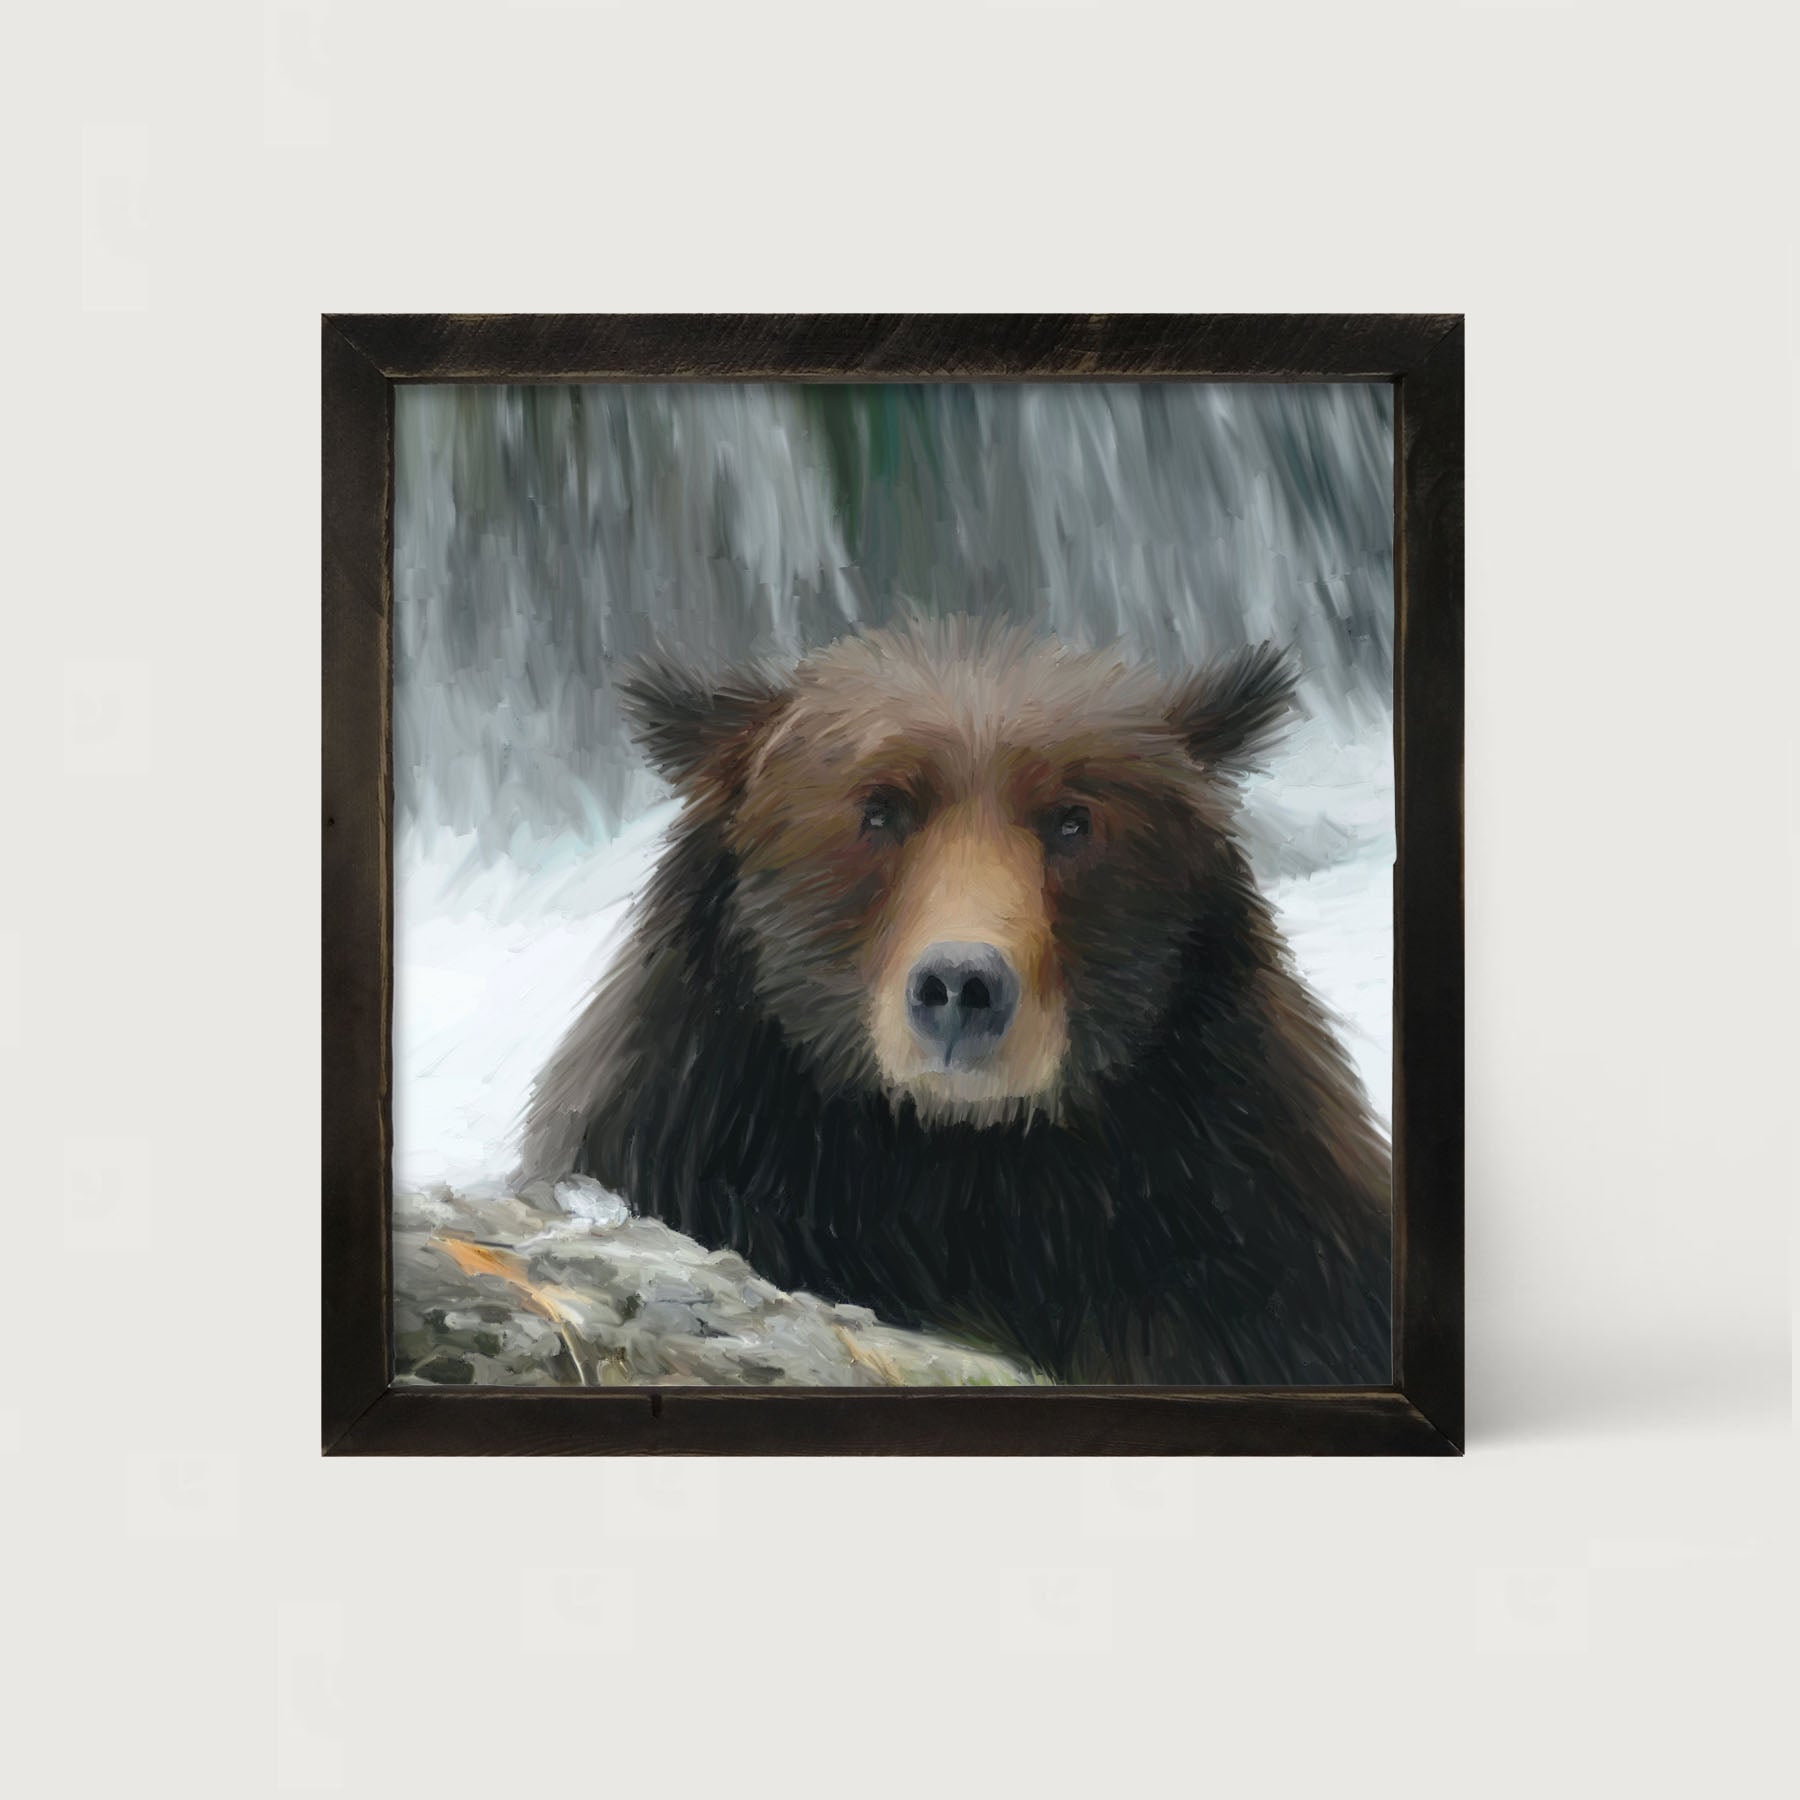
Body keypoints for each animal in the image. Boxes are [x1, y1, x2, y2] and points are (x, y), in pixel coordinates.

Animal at [521, 616, 1391, 1385]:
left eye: (1073, 819)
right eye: (879, 808)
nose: (961, 987)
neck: (959, 1165)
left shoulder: (1245, 1234)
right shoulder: (694, 1140)